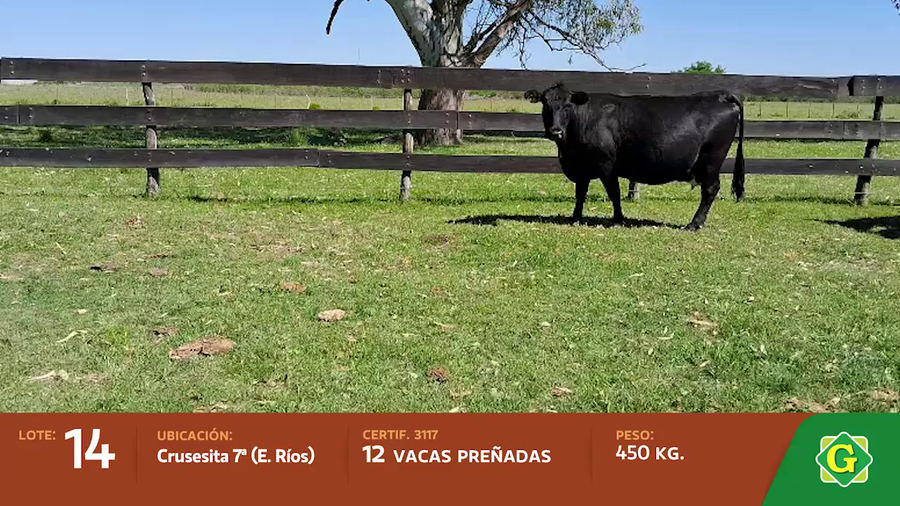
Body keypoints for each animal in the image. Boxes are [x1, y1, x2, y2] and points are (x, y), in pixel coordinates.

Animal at [524, 83, 745, 230]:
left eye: (568, 106)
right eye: (545, 104)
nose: (556, 131)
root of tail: (720, 95)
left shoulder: (606, 165)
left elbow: (614, 193)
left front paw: (618, 220)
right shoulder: (582, 166)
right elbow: (580, 194)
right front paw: (576, 218)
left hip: (711, 159)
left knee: (710, 189)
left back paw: (694, 224)